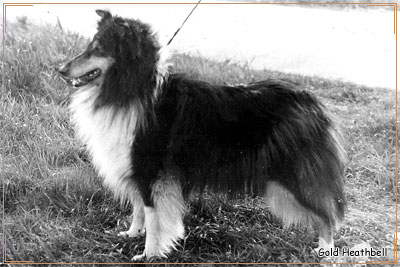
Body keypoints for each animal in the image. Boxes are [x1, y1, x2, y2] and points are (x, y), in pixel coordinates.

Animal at [57, 10, 346, 262]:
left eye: (98, 49)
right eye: (90, 45)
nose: (61, 70)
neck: (134, 91)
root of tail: (312, 102)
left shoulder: (151, 170)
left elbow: (152, 214)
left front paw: (149, 254)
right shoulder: (135, 169)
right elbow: (138, 207)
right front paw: (132, 234)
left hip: (294, 173)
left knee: (327, 215)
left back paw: (325, 251)